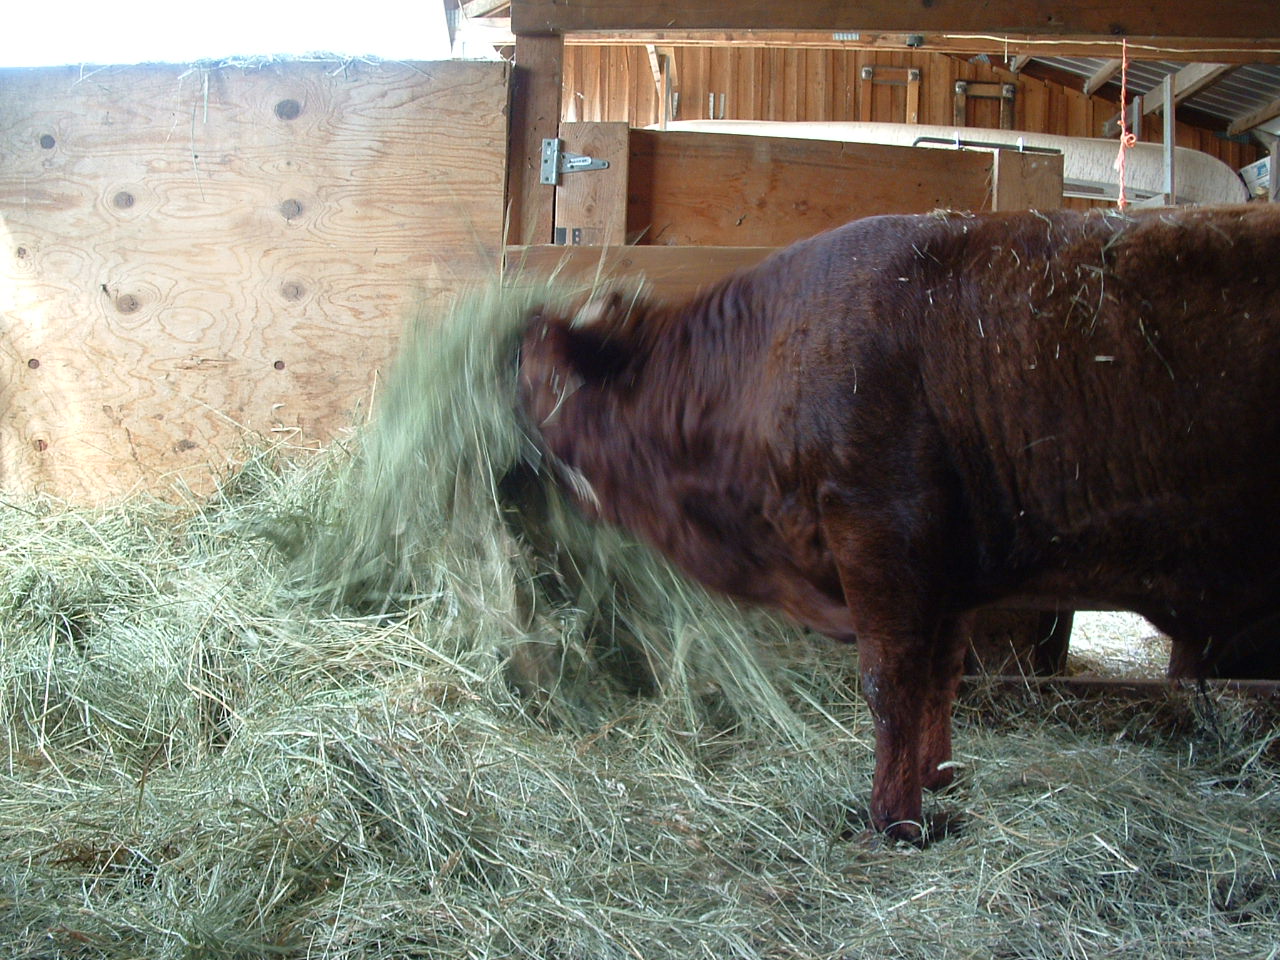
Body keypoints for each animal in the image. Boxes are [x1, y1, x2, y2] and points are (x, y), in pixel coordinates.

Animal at [517, 205, 1280, 842]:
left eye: (535, 381)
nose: (514, 463)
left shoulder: (881, 529)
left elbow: (890, 682)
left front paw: (894, 817)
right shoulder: (950, 569)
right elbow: (941, 677)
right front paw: (937, 777)